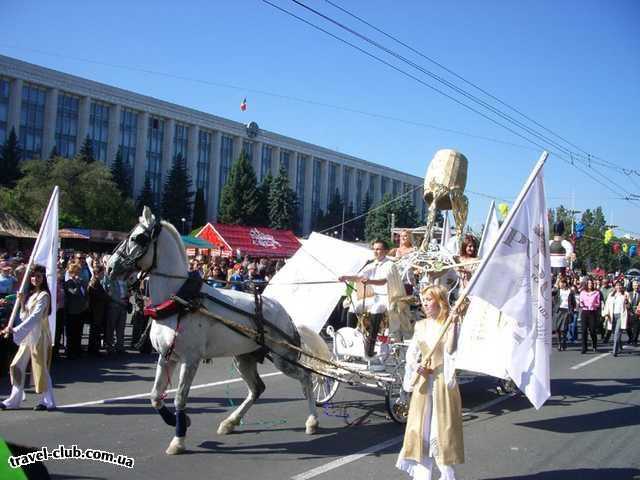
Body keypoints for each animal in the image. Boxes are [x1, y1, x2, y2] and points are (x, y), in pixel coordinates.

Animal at [106, 206, 324, 454]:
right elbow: (154, 397)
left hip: (282, 359)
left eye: (138, 238)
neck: (180, 300)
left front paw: (178, 440)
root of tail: (285, 314)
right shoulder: (166, 356)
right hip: (244, 358)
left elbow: (180, 398)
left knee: (306, 378)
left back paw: (312, 421)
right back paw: (230, 422)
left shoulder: (190, 359)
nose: (110, 267)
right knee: (257, 388)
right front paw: (181, 421)